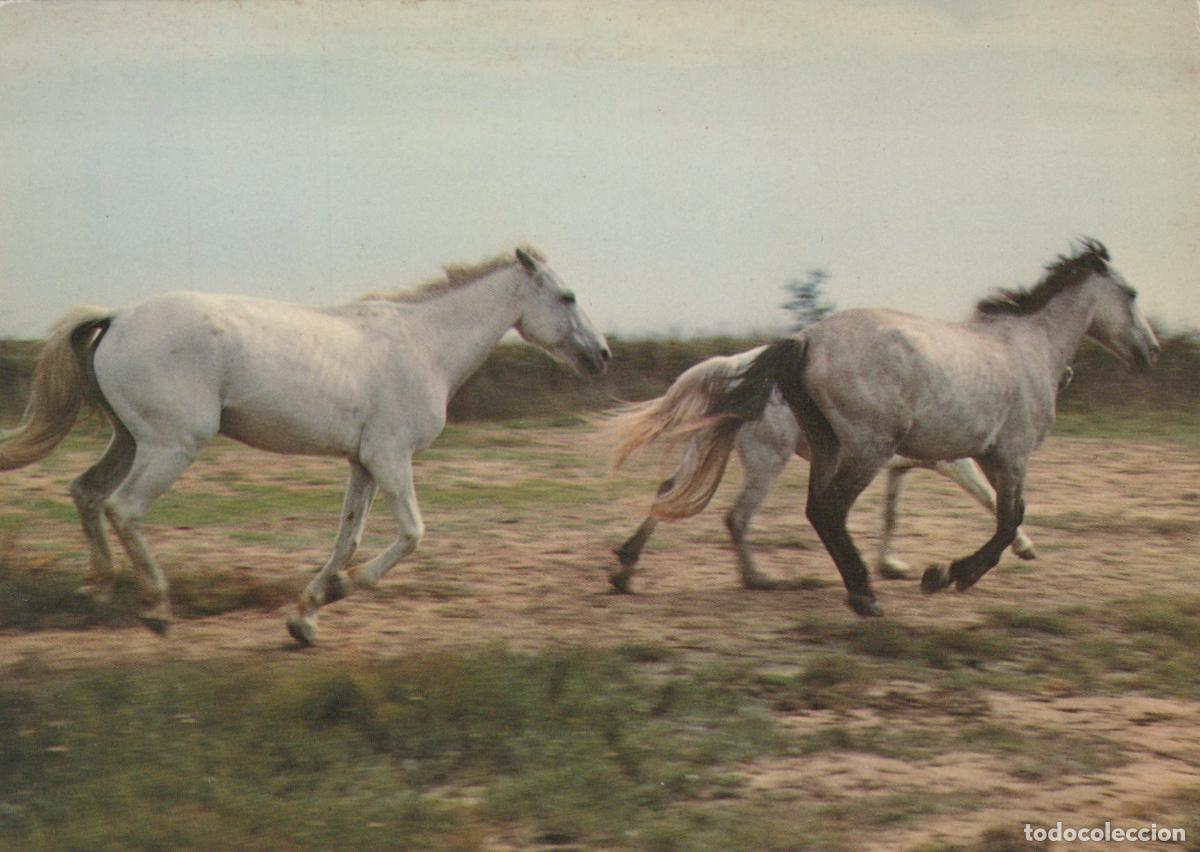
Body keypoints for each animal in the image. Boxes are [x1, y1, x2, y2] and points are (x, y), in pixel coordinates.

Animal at [0, 247, 610, 645]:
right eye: (567, 296)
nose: (602, 355)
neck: (424, 346)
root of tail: (120, 317)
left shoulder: (362, 464)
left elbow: (347, 538)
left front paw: (307, 616)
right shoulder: (391, 459)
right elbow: (412, 534)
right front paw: (344, 588)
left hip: (130, 439)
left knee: (85, 493)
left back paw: (97, 588)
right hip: (170, 445)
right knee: (123, 508)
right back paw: (156, 608)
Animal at [606, 345, 1056, 593]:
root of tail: (734, 365)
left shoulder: (898, 468)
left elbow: (891, 513)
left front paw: (891, 565)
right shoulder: (952, 462)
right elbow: (990, 498)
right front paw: (1024, 546)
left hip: (706, 446)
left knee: (668, 492)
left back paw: (625, 570)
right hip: (767, 461)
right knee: (736, 517)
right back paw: (759, 579)